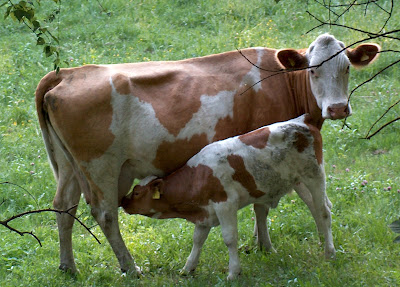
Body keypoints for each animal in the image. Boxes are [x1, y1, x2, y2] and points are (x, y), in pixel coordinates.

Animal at [122, 113, 334, 280]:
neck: (198, 176)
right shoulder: (205, 212)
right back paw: (323, 243)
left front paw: (233, 272)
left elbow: (230, 238)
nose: (123, 200)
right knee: (317, 208)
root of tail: (303, 121)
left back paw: (329, 252)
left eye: (137, 192)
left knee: (324, 212)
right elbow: (197, 240)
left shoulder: (225, 204)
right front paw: (188, 268)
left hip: (315, 175)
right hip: (298, 181)